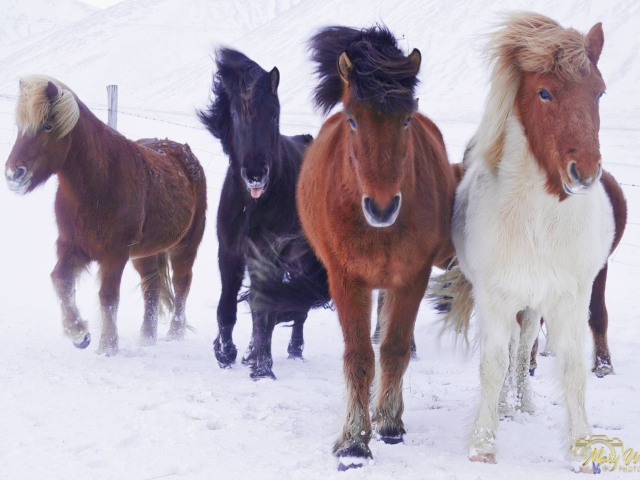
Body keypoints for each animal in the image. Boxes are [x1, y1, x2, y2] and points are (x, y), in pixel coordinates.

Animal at [4, 76, 207, 355]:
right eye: (19, 126)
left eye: (47, 125)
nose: (14, 174)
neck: (100, 182)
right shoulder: (73, 247)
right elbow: (61, 281)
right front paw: (79, 333)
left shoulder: (114, 253)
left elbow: (108, 297)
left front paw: (107, 347)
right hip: (145, 253)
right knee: (152, 288)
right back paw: (147, 338)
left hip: (185, 246)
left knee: (181, 284)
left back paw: (174, 335)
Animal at [198, 48, 330, 380]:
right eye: (234, 115)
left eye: (273, 114)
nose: (256, 174)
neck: (254, 204)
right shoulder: (230, 252)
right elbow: (227, 307)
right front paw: (226, 352)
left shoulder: (269, 257)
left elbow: (265, 313)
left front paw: (262, 368)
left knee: (296, 310)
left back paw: (292, 350)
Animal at [299, 26, 456, 470]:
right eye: (353, 119)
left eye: (406, 119)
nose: (382, 207)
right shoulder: (346, 280)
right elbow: (358, 357)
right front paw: (354, 439)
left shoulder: (411, 278)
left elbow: (394, 349)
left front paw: (387, 421)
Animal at [430, 13, 627, 469]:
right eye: (544, 92)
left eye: (599, 91)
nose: (585, 171)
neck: (538, 222)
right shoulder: (495, 298)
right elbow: (493, 364)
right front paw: (483, 444)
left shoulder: (569, 298)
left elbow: (571, 368)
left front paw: (581, 449)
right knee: (512, 351)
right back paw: (506, 406)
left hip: (535, 303)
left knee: (524, 351)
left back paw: (524, 404)